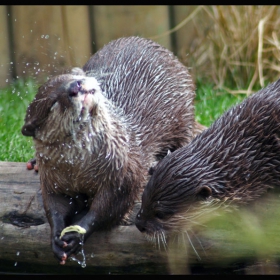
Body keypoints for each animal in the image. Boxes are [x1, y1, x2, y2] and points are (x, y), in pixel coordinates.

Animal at [21, 36, 201, 264]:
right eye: (53, 103)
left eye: (75, 77)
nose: (76, 86)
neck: (79, 169)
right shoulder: (53, 178)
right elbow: (54, 205)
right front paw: (56, 236)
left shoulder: (123, 171)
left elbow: (109, 206)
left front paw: (77, 233)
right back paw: (34, 162)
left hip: (183, 115)